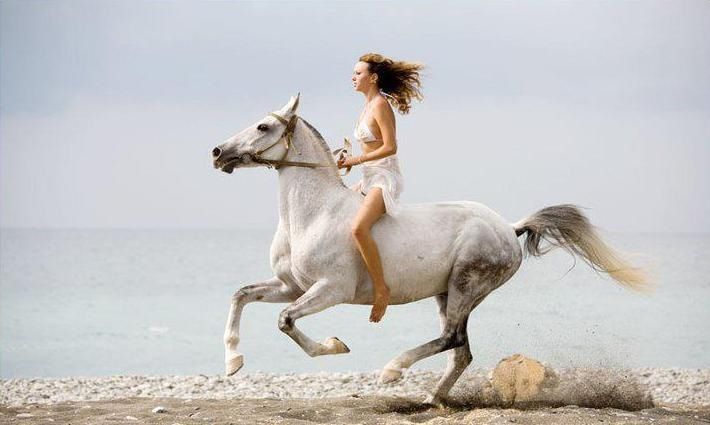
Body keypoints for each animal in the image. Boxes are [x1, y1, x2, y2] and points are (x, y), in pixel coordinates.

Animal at [210, 94, 649, 406]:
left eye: (263, 126)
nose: (218, 153)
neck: (313, 214)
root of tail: (508, 228)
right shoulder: (292, 286)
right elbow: (240, 295)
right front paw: (233, 362)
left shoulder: (330, 290)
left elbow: (284, 321)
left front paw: (335, 346)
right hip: (448, 293)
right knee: (461, 351)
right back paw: (431, 397)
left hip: (465, 286)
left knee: (451, 338)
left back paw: (392, 371)